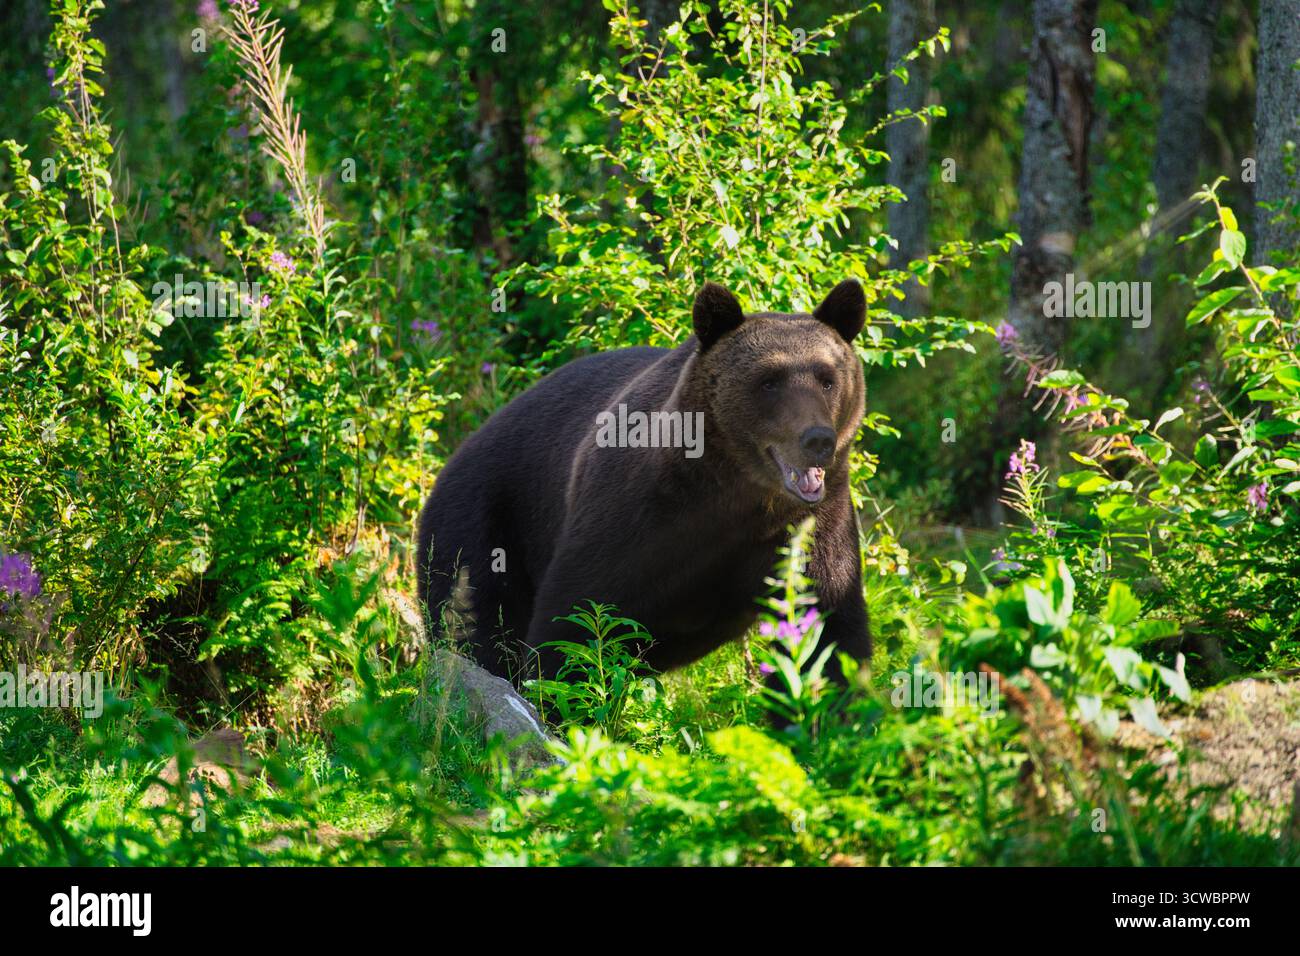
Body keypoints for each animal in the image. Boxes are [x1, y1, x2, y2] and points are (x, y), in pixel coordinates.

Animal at [416, 279, 871, 685]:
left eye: (828, 378)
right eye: (769, 381)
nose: (817, 440)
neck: (737, 494)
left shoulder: (811, 524)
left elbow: (827, 628)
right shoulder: (637, 510)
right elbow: (575, 616)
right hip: (486, 513)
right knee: (474, 613)